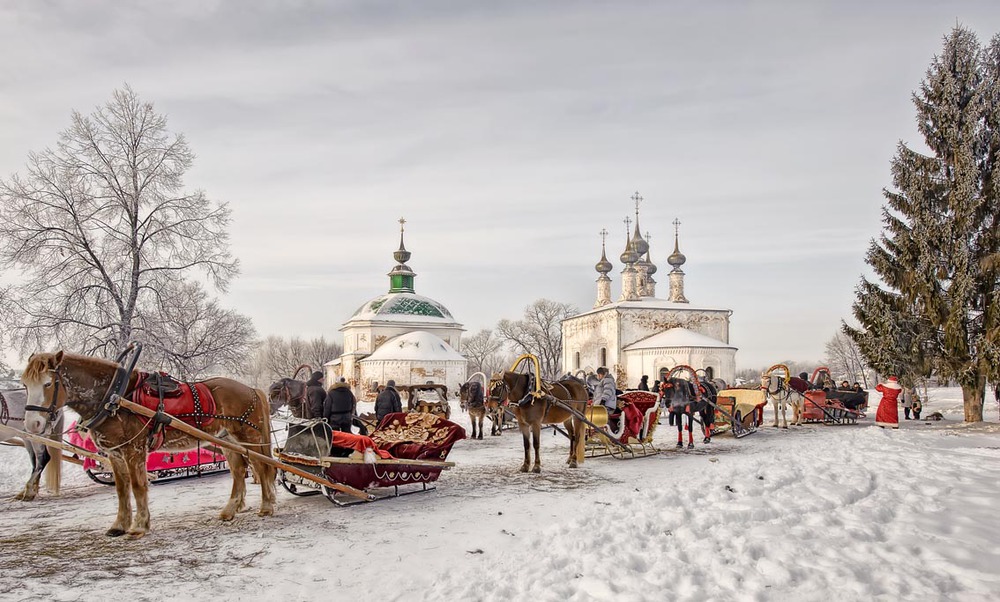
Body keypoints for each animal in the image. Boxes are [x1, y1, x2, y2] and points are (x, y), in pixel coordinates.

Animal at [20, 350, 278, 536]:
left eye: (48, 384)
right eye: (24, 384)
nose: (32, 424)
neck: (113, 397)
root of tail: (252, 389)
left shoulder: (134, 450)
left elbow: (137, 486)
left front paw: (139, 525)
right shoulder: (114, 453)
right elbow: (121, 489)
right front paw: (119, 525)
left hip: (250, 438)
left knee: (262, 466)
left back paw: (267, 506)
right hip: (226, 439)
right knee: (239, 470)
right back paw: (230, 509)